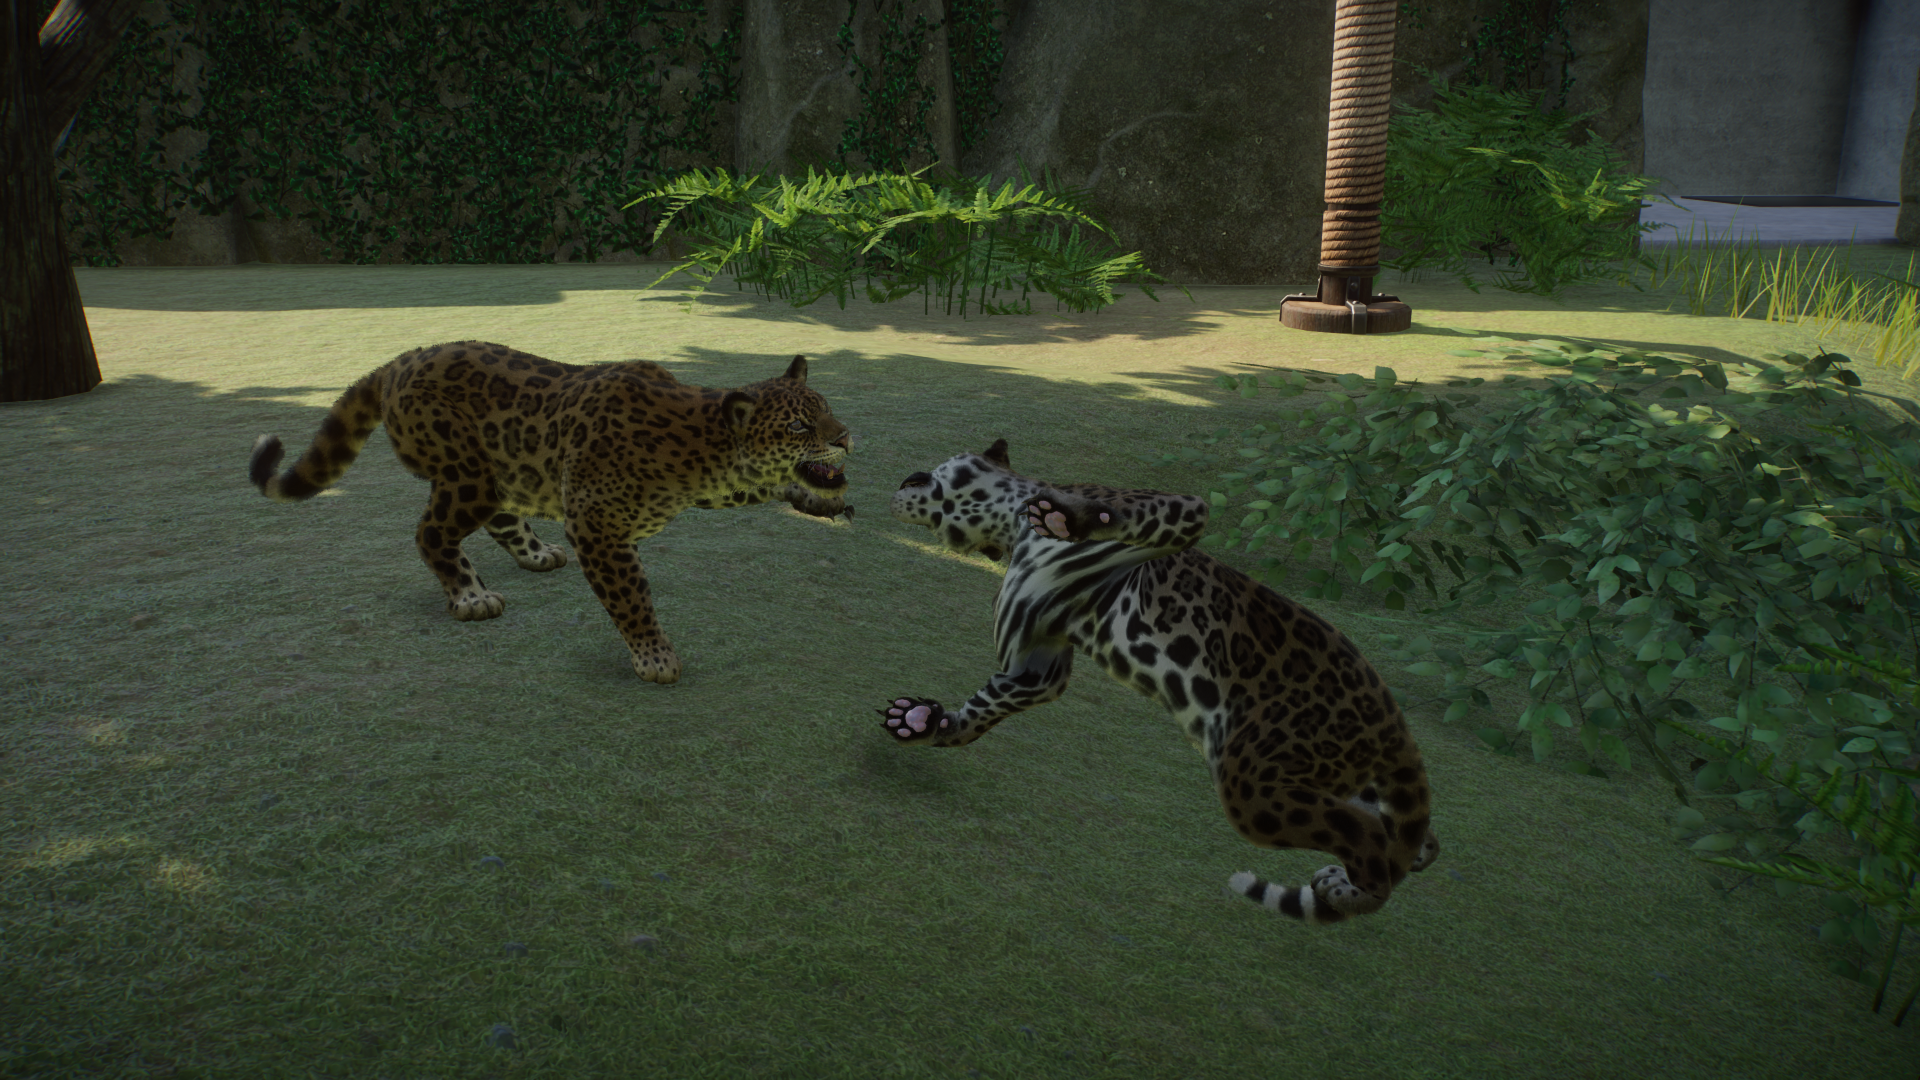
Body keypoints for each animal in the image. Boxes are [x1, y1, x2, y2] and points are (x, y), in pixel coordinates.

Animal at [249, 340, 852, 684]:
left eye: (826, 409)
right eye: (798, 425)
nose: (846, 437)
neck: (697, 446)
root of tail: (397, 360)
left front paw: (820, 499)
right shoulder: (598, 526)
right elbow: (631, 598)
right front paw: (655, 658)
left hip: (500, 473)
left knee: (500, 520)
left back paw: (537, 555)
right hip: (467, 475)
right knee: (430, 533)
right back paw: (471, 597)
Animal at [879, 439, 1438, 923]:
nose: (898, 485)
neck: (1015, 534)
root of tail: (1395, 723)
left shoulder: (1177, 510)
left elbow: (1138, 511)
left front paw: (1066, 517)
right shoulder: (1036, 665)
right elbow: (986, 707)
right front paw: (925, 721)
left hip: (1256, 782)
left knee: (1371, 843)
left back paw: (1352, 890)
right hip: (1330, 777)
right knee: (1416, 843)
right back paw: (1351, 881)